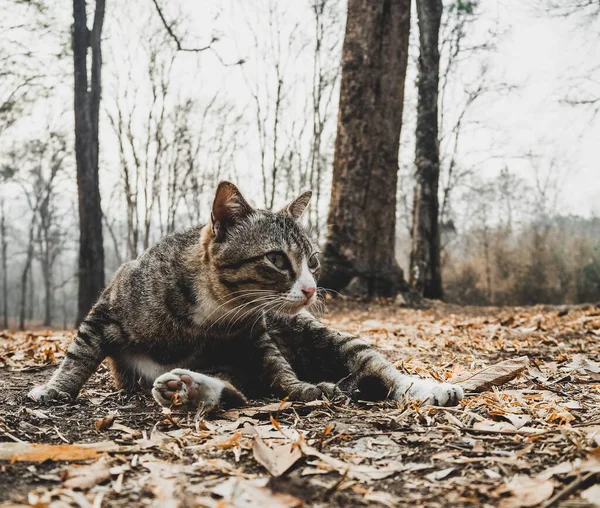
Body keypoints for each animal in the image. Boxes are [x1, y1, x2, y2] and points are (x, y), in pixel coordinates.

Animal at [28, 181, 464, 410]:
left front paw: (300, 389)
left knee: (380, 368)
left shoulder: (255, 337)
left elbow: (277, 369)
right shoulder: (107, 307)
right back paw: (185, 388)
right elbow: (80, 351)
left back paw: (429, 388)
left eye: (313, 261)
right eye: (277, 259)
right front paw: (56, 389)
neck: (212, 313)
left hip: (328, 337)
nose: (310, 289)